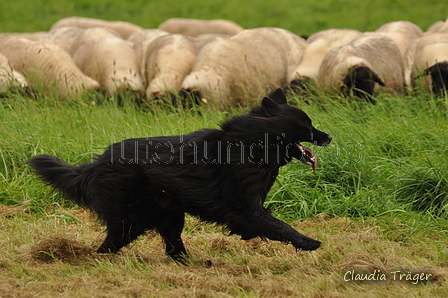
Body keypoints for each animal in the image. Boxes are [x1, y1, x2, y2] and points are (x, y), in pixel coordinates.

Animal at [27, 88, 328, 260]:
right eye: (307, 126)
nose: (330, 137)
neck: (250, 143)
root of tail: (96, 164)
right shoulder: (245, 209)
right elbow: (280, 226)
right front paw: (309, 242)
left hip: (170, 214)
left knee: (173, 248)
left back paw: (194, 262)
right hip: (131, 220)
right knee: (110, 245)